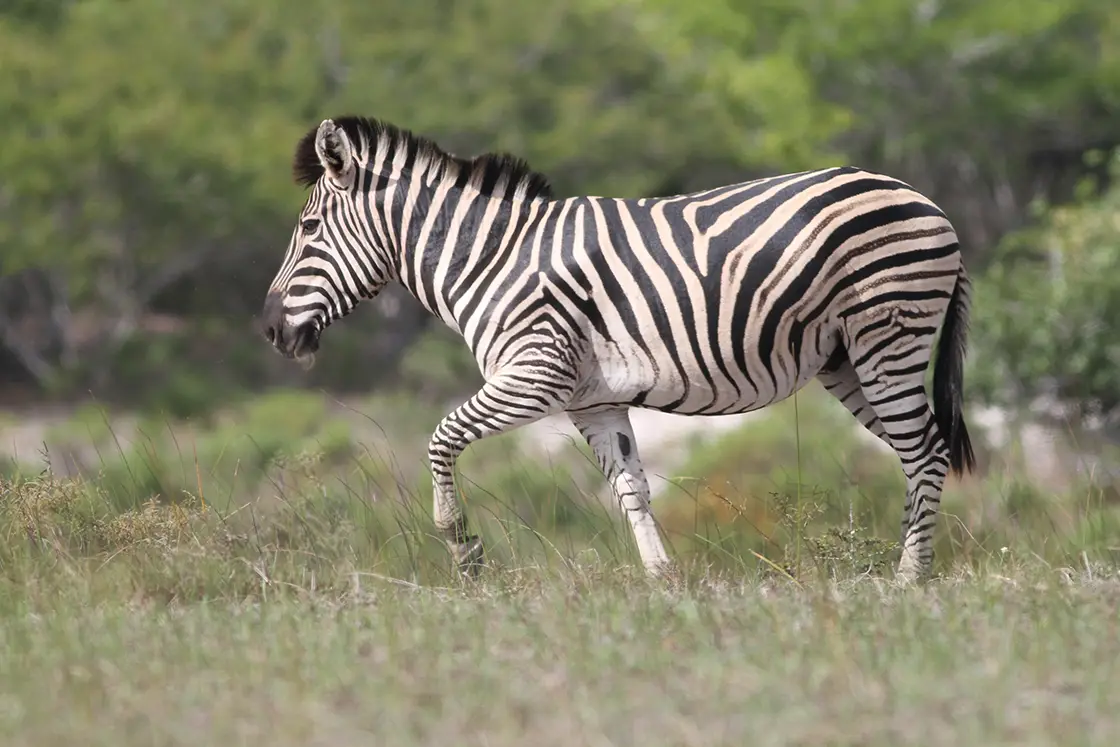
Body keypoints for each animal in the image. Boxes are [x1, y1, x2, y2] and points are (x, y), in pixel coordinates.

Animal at [259, 117, 972, 582]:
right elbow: (631, 488)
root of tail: (924, 199)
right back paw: (911, 570)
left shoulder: (536, 374)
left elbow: (440, 437)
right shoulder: (591, 401)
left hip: (887, 338)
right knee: (924, 453)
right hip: (847, 360)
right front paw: (662, 584)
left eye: (309, 228)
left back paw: (908, 583)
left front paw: (462, 548)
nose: (269, 331)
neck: (492, 259)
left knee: (926, 452)